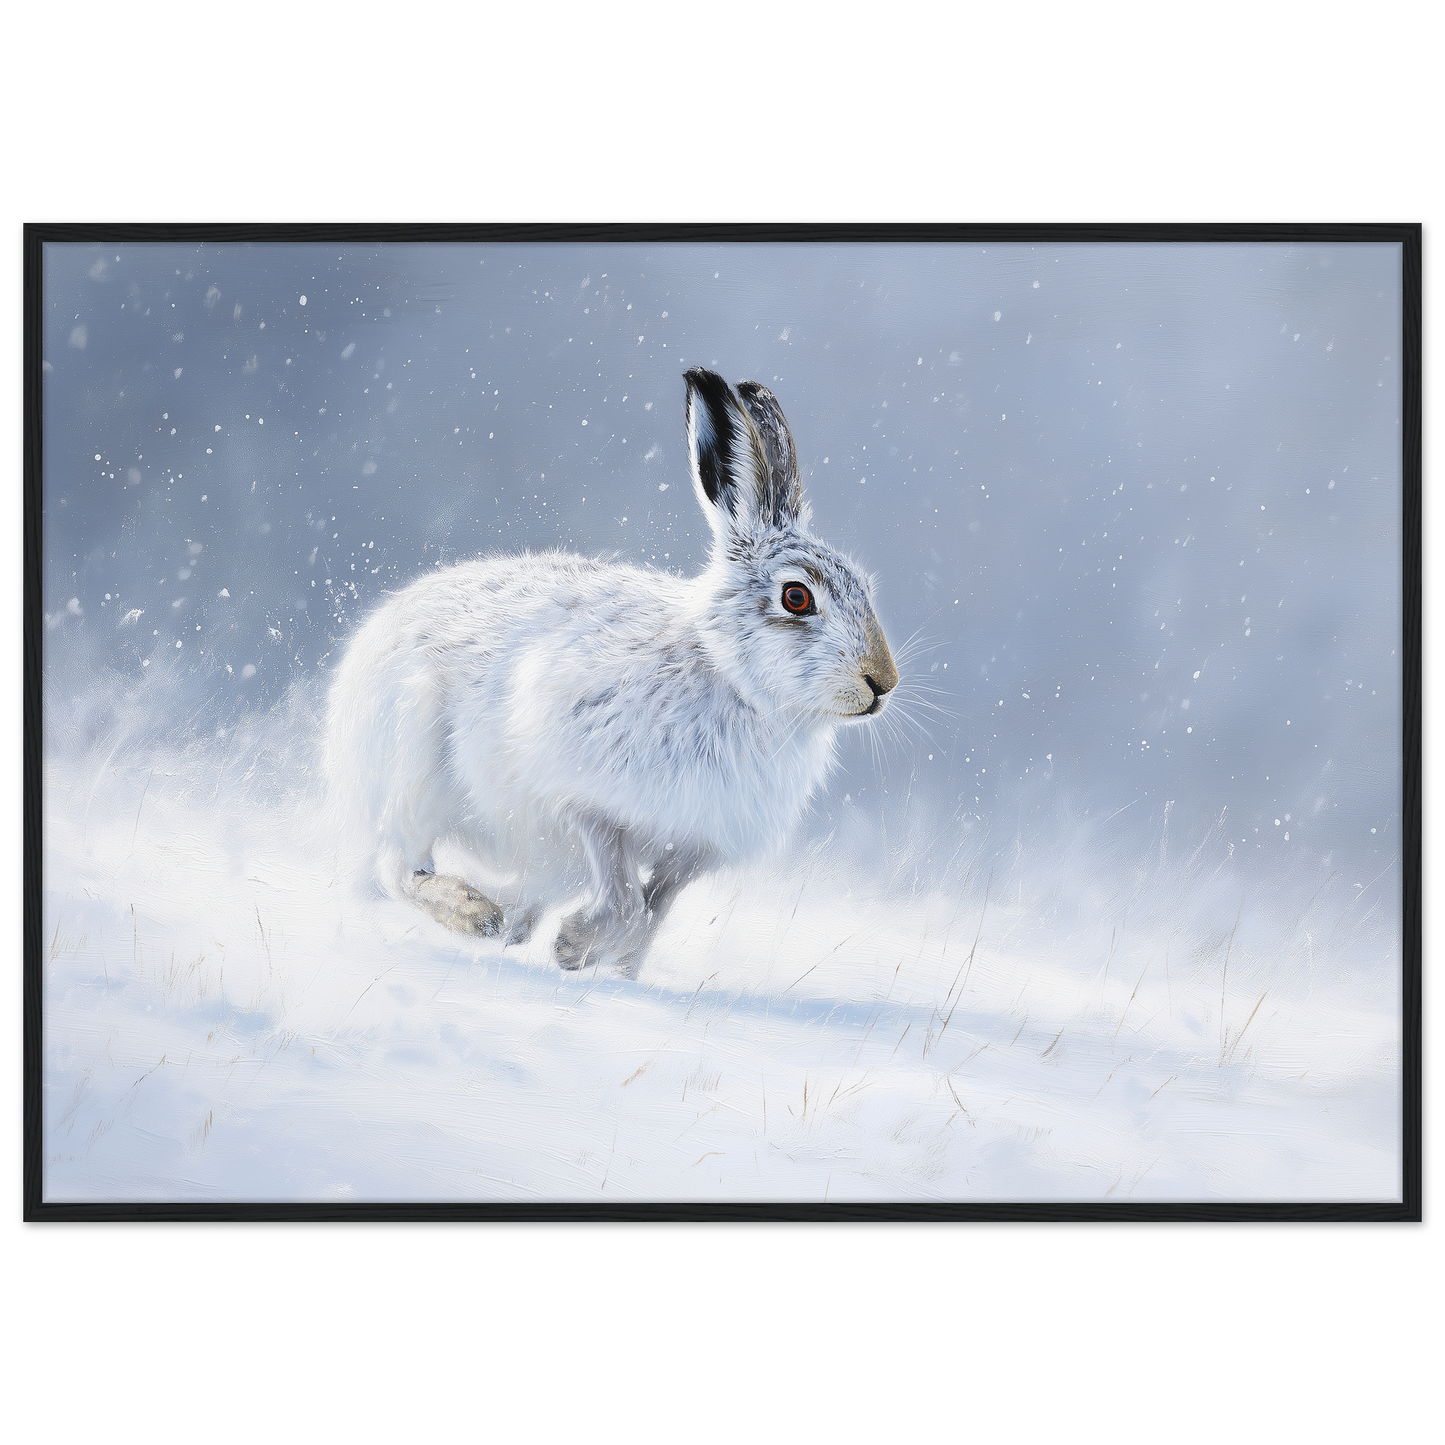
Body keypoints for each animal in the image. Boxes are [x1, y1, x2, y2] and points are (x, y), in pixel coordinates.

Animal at [322, 368, 899, 973]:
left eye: (865, 587)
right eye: (796, 597)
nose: (883, 682)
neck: (730, 677)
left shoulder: (693, 848)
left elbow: (651, 916)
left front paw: (608, 967)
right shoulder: (586, 799)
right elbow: (625, 901)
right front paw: (573, 944)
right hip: (414, 762)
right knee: (397, 866)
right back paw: (476, 914)